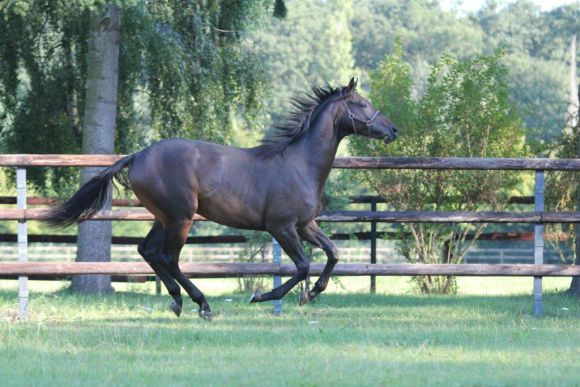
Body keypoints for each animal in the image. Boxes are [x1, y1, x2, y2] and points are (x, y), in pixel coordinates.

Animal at [46, 77, 398, 320]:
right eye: (362, 104)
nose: (392, 130)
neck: (299, 163)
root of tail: (139, 156)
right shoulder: (282, 227)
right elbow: (302, 266)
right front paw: (263, 296)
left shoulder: (305, 224)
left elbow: (333, 253)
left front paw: (311, 294)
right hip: (181, 218)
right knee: (168, 258)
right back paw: (202, 304)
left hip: (164, 217)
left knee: (148, 251)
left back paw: (177, 300)